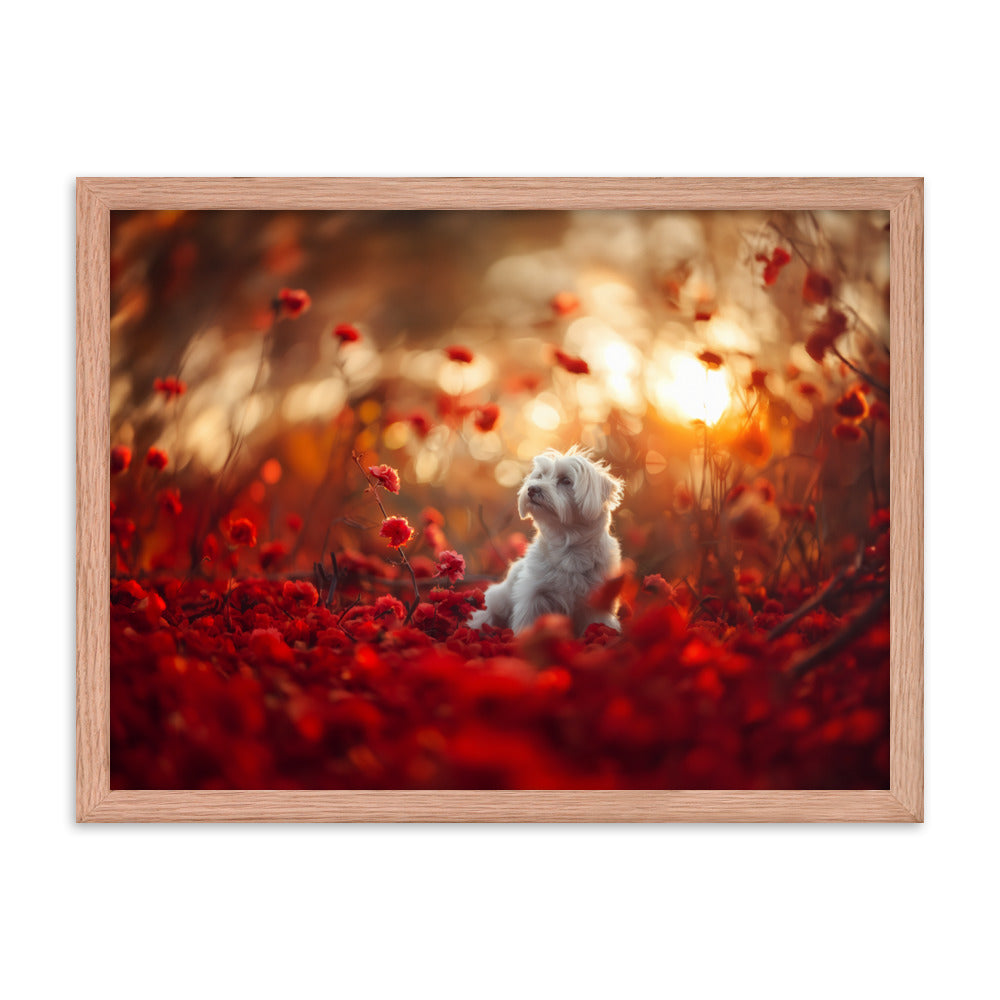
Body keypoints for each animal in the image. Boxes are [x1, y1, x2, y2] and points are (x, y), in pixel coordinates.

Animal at [468, 452, 624, 636]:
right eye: (540, 476)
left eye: (566, 481)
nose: (532, 489)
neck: (568, 547)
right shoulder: (533, 596)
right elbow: (527, 622)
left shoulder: (597, 603)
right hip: (498, 600)